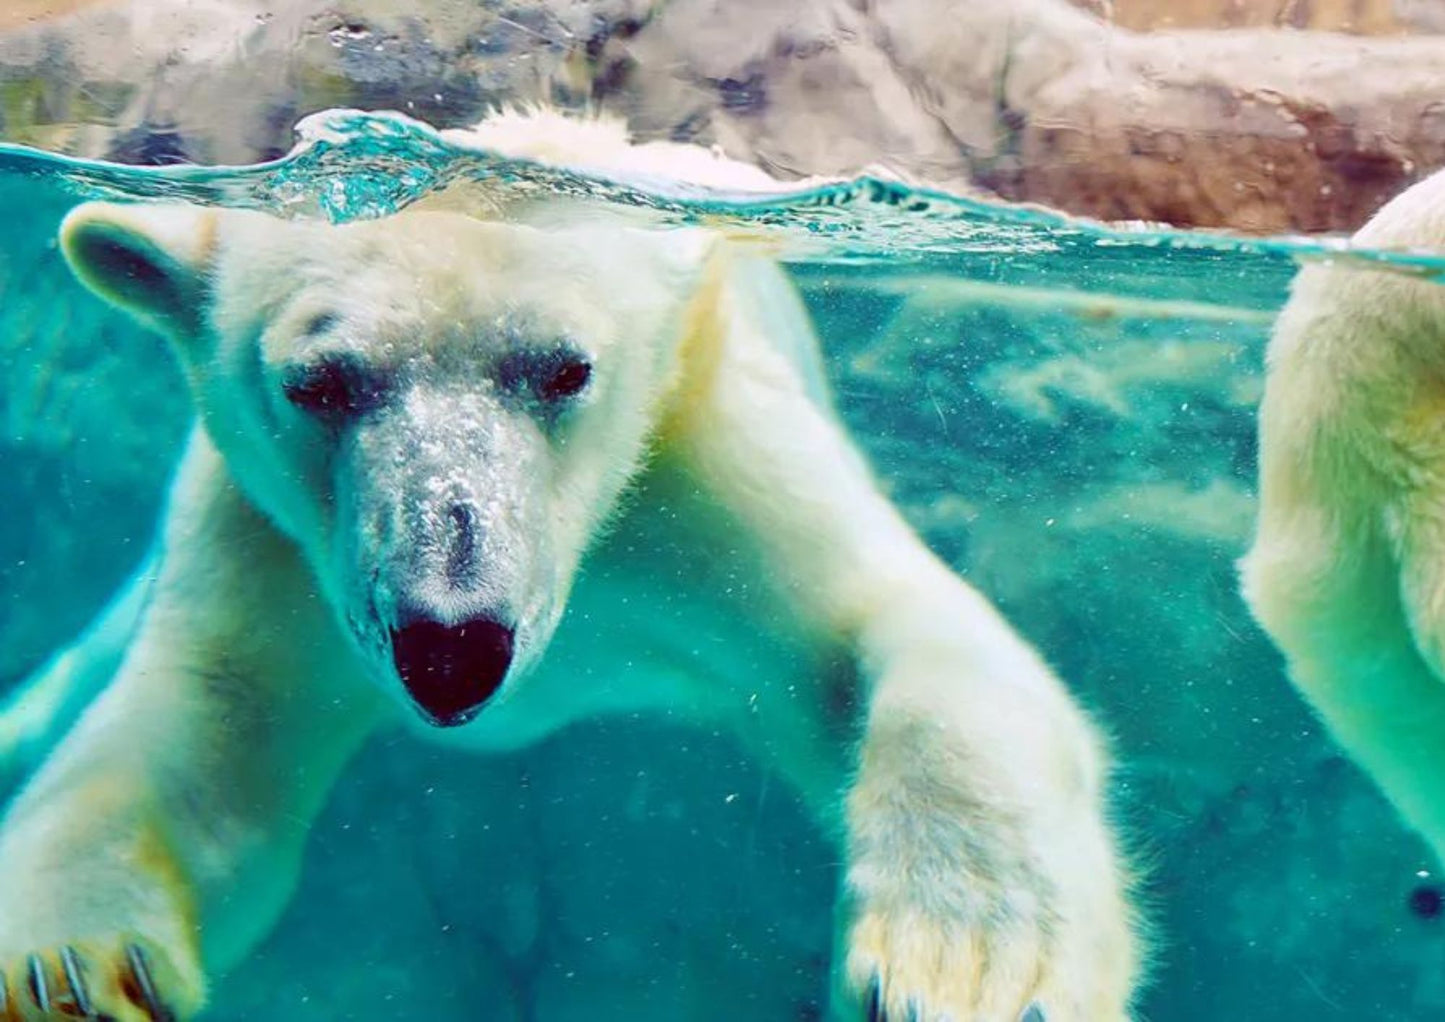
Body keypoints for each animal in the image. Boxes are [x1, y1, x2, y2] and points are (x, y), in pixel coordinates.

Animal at [0, 112, 1132, 1022]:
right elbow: (211, 729)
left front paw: (968, 967)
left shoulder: (695, 463)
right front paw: (68, 971)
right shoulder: (270, 542)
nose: (450, 645)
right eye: (318, 382)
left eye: (565, 369)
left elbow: (889, 634)